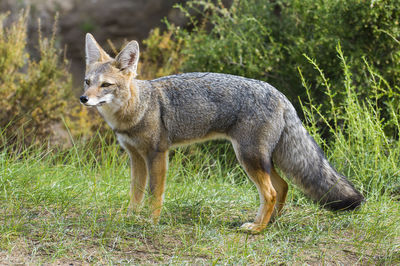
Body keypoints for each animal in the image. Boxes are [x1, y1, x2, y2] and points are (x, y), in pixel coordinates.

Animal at [79, 33, 364, 233]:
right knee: (282, 187)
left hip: (248, 158)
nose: (83, 98)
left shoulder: (157, 154)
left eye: (106, 85)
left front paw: (150, 221)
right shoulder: (136, 157)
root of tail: (279, 94)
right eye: (87, 82)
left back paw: (257, 228)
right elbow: (136, 192)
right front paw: (130, 217)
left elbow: (154, 193)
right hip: (260, 159)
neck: (137, 108)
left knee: (271, 192)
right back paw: (271, 222)